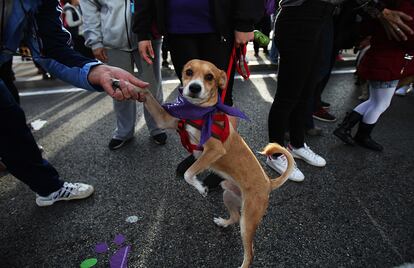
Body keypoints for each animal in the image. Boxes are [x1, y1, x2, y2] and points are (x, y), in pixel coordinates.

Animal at [119, 59, 294, 266]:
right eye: (188, 72)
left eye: (209, 77)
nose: (194, 88)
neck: (200, 112)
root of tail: (268, 182)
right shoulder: (165, 120)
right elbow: (146, 93)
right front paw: (124, 83)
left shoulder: (214, 150)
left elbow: (189, 173)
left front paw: (200, 187)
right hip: (229, 195)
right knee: (235, 217)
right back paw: (223, 222)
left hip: (249, 221)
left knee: (250, 253)